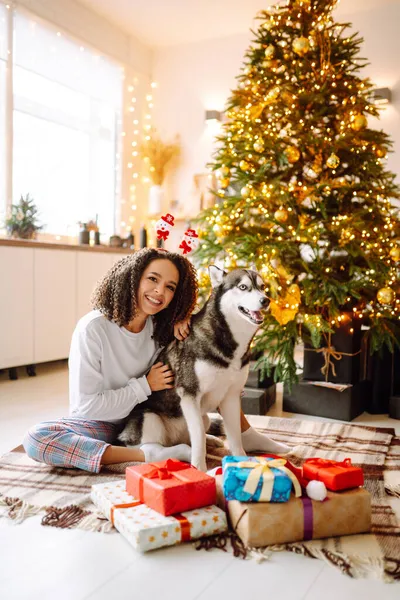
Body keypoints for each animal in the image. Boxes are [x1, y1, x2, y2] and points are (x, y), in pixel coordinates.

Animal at [119, 264, 268, 472]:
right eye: (243, 287)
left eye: (263, 287)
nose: (266, 300)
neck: (228, 341)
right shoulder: (189, 393)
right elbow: (198, 439)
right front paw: (200, 469)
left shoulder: (231, 396)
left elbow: (235, 437)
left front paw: (242, 461)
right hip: (148, 419)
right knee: (150, 448)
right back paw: (183, 451)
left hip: (202, 417)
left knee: (198, 432)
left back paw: (211, 439)